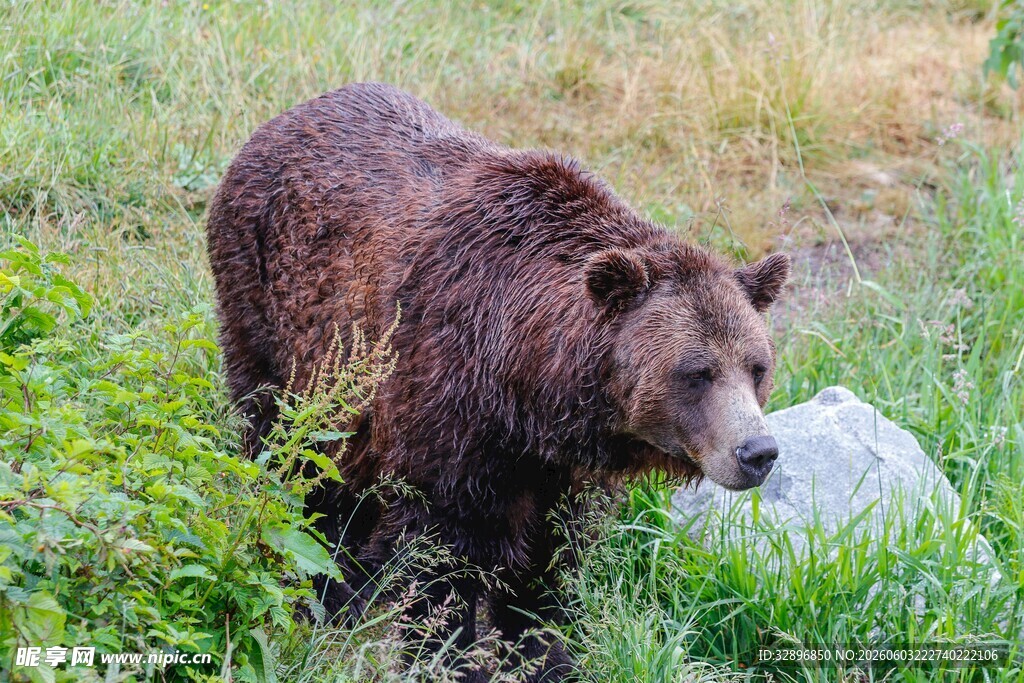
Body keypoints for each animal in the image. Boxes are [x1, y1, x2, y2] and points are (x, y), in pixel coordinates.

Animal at [206, 82, 789, 682]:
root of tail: (281, 120)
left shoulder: (557, 471)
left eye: (757, 367)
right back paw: (328, 589)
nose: (757, 452)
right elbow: (440, 557)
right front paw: (448, 655)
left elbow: (551, 565)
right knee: (289, 450)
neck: (529, 387)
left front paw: (549, 654)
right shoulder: (448, 406)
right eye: (697, 373)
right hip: (277, 319)